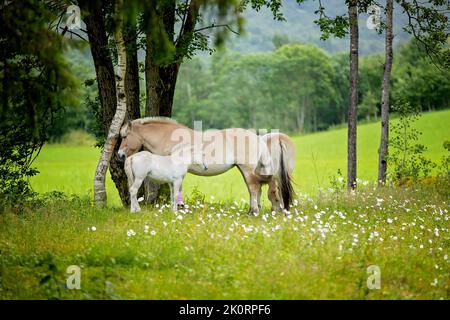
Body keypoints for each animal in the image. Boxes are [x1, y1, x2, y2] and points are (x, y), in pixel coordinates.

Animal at [118, 116, 298, 214]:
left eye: (125, 136)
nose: (120, 155)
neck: (167, 136)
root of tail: (257, 138)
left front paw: (179, 207)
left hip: (248, 169)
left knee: (256, 188)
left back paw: (255, 211)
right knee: (258, 189)